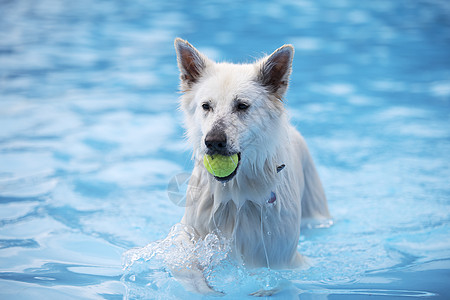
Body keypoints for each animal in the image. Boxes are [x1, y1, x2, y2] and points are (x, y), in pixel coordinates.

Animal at [172, 38, 330, 296]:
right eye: (206, 106)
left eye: (242, 106)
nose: (213, 141)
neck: (235, 197)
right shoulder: (191, 234)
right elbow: (186, 266)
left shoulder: (281, 262)